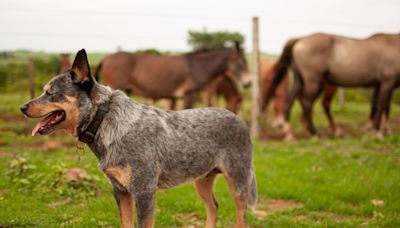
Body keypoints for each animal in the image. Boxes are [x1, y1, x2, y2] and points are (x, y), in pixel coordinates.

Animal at [95, 45, 248, 109]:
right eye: (241, 63)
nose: (248, 83)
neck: (196, 66)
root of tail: (105, 58)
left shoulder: (174, 98)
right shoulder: (189, 94)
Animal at [266, 31, 400, 139]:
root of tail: (300, 39)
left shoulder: (380, 85)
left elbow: (381, 106)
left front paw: (383, 130)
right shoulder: (387, 83)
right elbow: (382, 106)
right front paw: (378, 132)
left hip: (300, 80)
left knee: (289, 102)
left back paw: (290, 133)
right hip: (313, 82)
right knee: (307, 103)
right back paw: (314, 132)